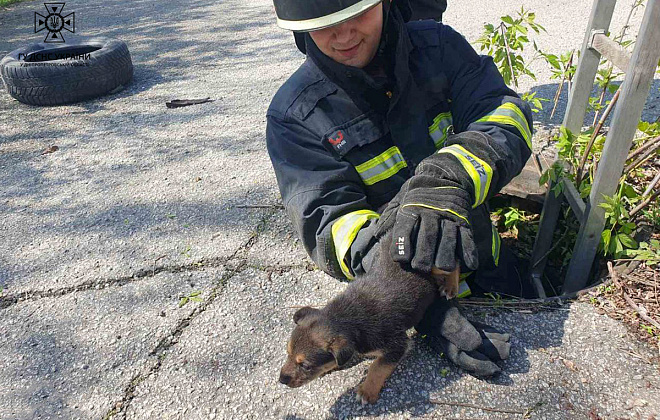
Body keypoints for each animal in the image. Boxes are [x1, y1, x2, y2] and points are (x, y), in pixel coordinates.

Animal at [276, 235, 456, 406]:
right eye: (288, 353)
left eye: (306, 366)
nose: (281, 380)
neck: (344, 317)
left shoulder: (397, 345)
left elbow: (377, 367)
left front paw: (367, 391)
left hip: (434, 262)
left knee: (454, 266)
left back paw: (450, 287)